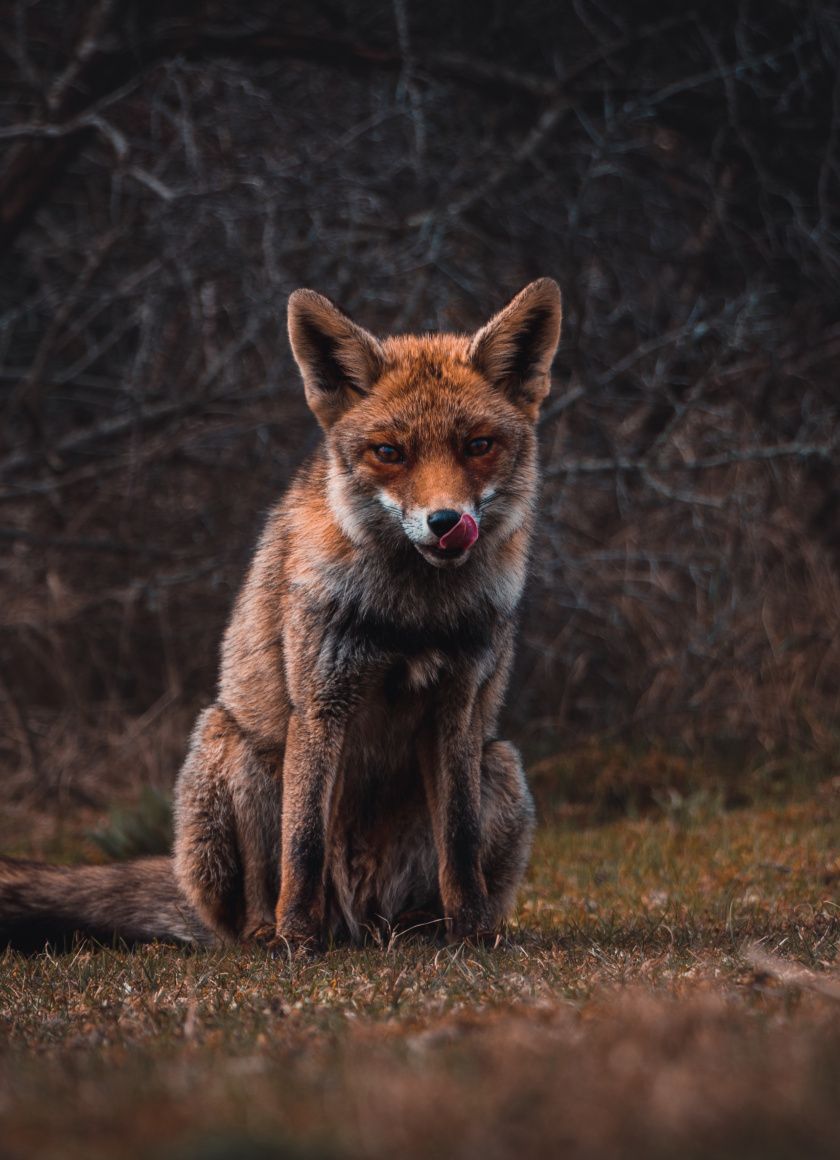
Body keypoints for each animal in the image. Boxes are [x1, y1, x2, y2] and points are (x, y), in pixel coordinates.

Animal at [0, 277, 562, 952]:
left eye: (478, 446)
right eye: (389, 452)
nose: (446, 521)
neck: (412, 617)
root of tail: (361, 924)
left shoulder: (455, 709)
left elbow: (459, 840)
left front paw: (474, 935)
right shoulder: (321, 701)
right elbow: (305, 844)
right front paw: (298, 942)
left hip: (498, 762)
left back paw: (427, 929)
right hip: (235, 748)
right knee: (258, 898)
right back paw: (273, 934)